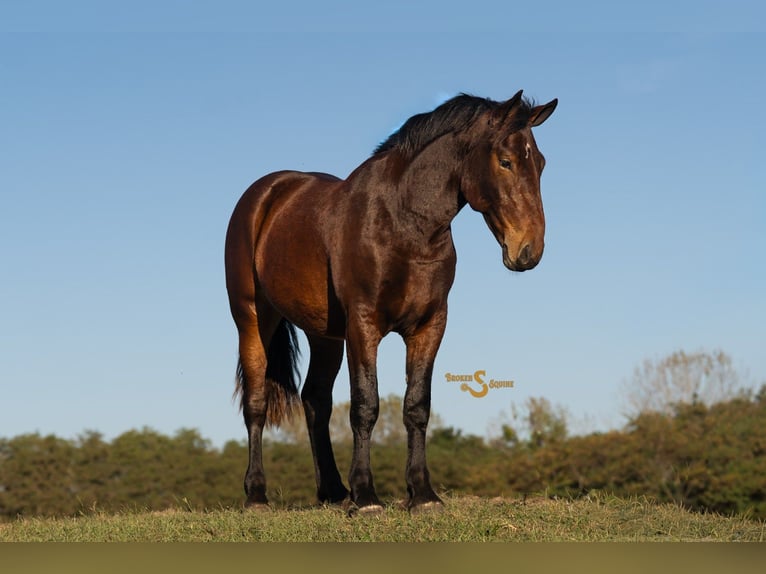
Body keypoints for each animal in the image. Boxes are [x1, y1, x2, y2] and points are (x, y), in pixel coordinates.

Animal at [224, 90, 557, 513]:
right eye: (505, 161)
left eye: (540, 163)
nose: (529, 250)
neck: (402, 224)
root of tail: (266, 193)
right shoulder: (364, 326)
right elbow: (366, 406)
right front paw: (367, 496)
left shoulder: (429, 326)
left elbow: (416, 406)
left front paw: (423, 494)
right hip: (252, 319)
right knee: (256, 402)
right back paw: (257, 495)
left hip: (325, 336)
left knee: (315, 401)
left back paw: (333, 492)